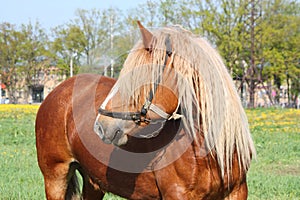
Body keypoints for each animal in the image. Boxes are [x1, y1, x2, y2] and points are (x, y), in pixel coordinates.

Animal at [35, 21, 255, 199]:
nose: (100, 126)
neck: (208, 154)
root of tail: (58, 90)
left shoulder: (237, 192)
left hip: (93, 182)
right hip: (55, 177)